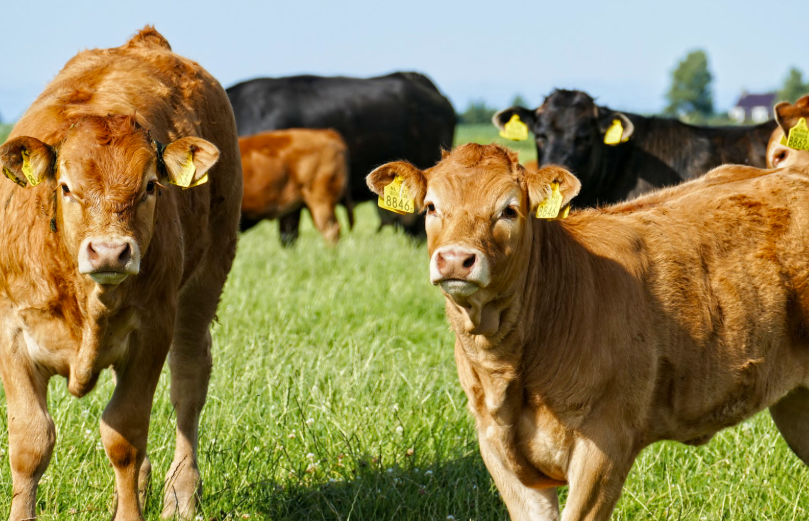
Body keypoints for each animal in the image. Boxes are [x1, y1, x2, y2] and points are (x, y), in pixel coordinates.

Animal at [0, 27, 241, 520]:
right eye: (66, 187)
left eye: (150, 186)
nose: (110, 252)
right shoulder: (11, 331)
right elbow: (30, 442)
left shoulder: (152, 331)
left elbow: (124, 436)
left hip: (205, 281)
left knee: (188, 381)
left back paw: (180, 494)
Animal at [367, 143, 809, 521]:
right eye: (431, 206)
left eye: (509, 210)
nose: (456, 259)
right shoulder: (495, 444)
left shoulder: (605, 443)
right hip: (795, 404)